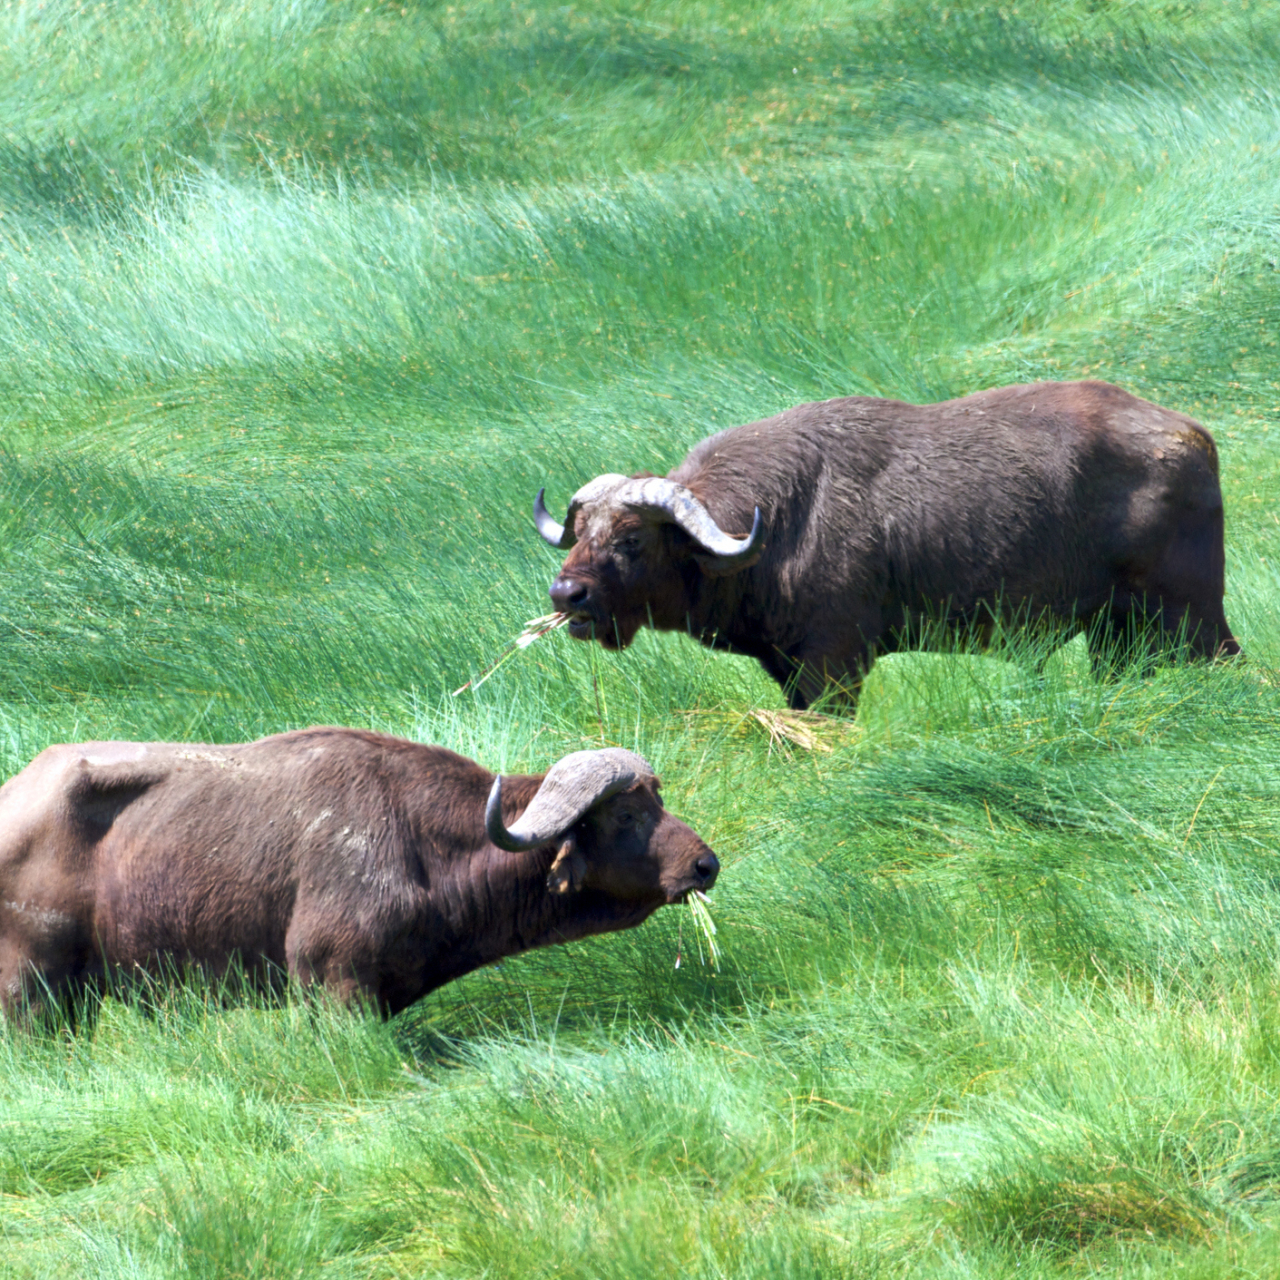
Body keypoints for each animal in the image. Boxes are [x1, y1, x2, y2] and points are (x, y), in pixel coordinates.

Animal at [0, 728, 718, 1020]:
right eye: (626, 812)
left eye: (659, 800)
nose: (704, 864)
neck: (419, 840)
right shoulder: (333, 982)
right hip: (31, 994)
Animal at [535, 379, 1241, 709]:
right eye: (582, 532)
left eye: (631, 539)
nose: (567, 594)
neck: (779, 524)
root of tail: (1193, 437)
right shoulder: (789, 670)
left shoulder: (835, 666)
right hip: (1115, 638)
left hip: (1192, 619)